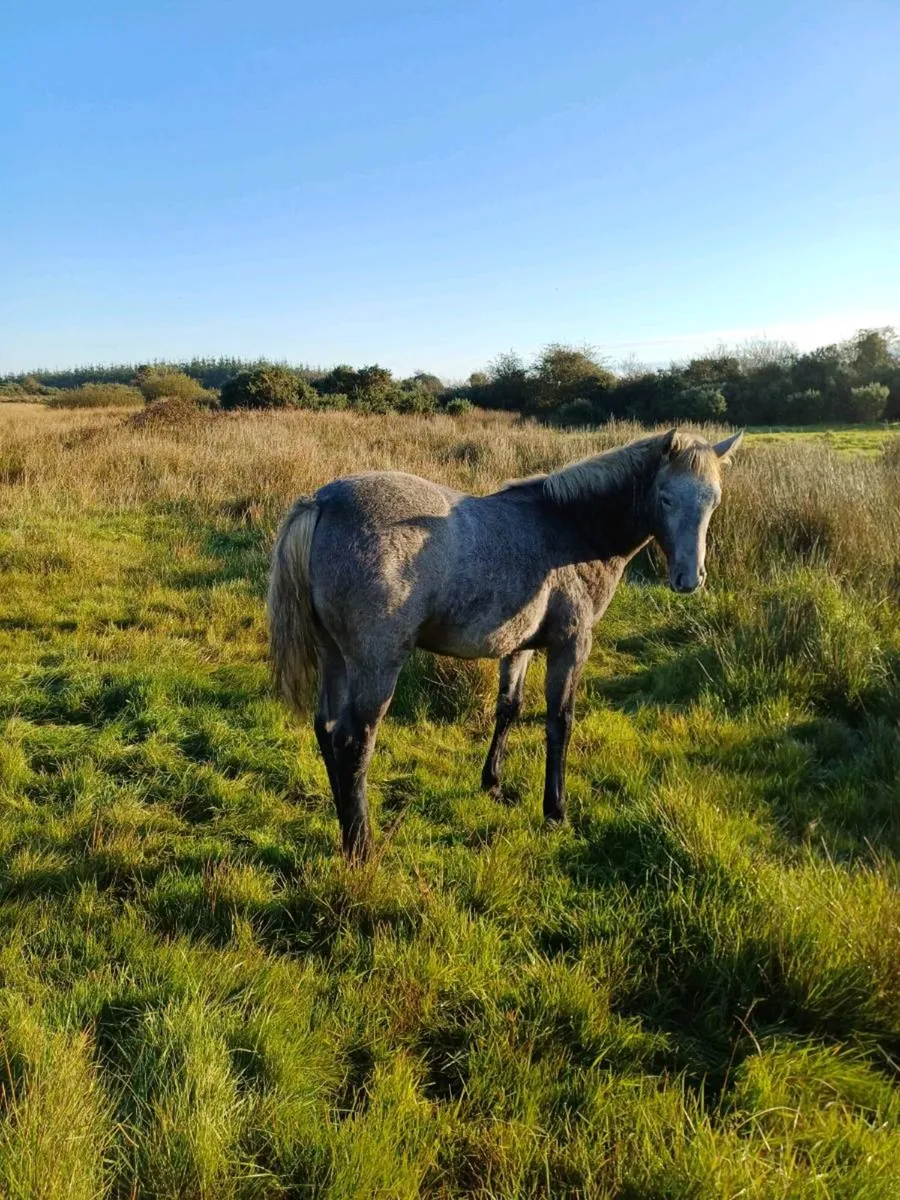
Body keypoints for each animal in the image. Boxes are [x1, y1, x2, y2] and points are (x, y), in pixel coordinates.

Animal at [268, 427, 742, 861]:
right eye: (666, 497)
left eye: (714, 501)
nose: (688, 579)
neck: (572, 529)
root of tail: (323, 501)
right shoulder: (571, 645)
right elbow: (560, 721)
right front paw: (555, 811)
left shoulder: (521, 645)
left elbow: (508, 708)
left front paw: (492, 784)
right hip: (375, 665)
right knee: (353, 741)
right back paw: (361, 845)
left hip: (333, 655)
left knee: (327, 729)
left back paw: (344, 823)